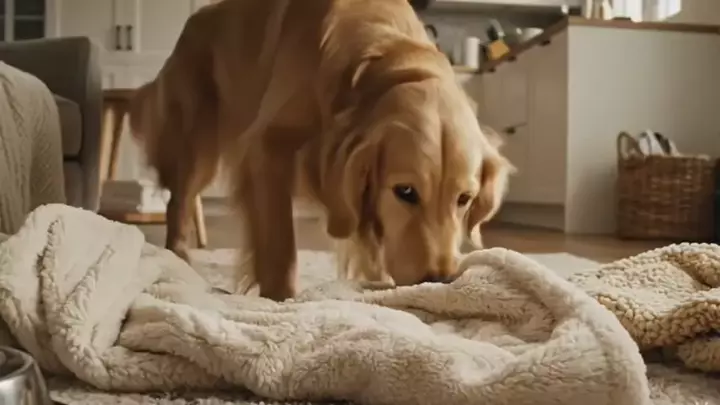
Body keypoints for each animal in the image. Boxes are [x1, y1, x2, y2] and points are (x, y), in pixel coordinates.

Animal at [129, 0, 512, 301]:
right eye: (405, 191)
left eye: (464, 199)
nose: (440, 279)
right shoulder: (267, 147)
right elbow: (281, 245)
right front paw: (281, 299)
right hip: (199, 144)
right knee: (178, 200)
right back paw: (179, 258)